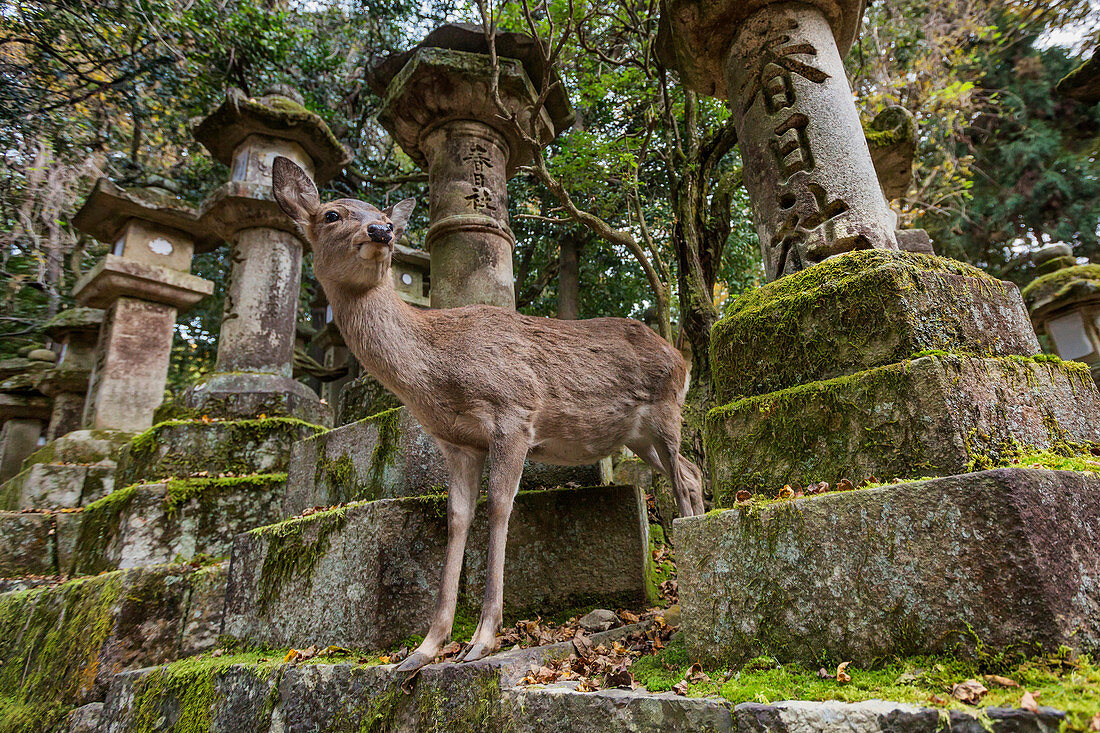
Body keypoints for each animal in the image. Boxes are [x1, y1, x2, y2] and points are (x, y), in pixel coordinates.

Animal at [275, 155, 704, 673]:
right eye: (331, 214)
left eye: (382, 214)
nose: (382, 231)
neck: (437, 376)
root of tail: (681, 359)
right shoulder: (456, 442)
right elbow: (458, 517)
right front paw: (423, 650)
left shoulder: (514, 413)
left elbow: (500, 505)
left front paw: (483, 639)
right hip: (637, 436)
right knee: (691, 472)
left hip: (666, 411)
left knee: (679, 478)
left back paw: (686, 586)